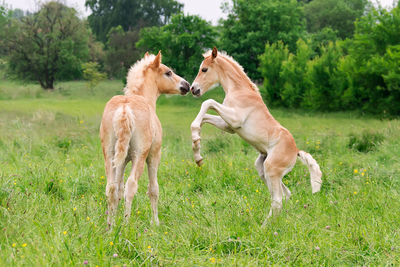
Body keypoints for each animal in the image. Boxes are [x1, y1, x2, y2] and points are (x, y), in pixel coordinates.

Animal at [99, 51, 188, 227]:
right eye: (168, 72)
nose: (187, 85)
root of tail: (125, 108)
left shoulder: (122, 161)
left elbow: (118, 189)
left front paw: (114, 219)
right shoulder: (154, 155)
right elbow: (153, 189)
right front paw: (156, 222)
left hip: (110, 155)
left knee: (111, 188)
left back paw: (110, 227)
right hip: (139, 156)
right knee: (131, 186)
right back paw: (126, 225)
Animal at [189, 47, 324, 225]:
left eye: (204, 69)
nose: (193, 89)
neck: (239, 90)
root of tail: (296, 151)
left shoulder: (235, 119)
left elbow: (208, 102)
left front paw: (196, 144)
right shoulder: (229, 126)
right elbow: (204, 117)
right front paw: (197, 150)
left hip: (271, 170)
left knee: (277, 200)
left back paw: (264, 227)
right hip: (263, 168)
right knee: (285, 195)